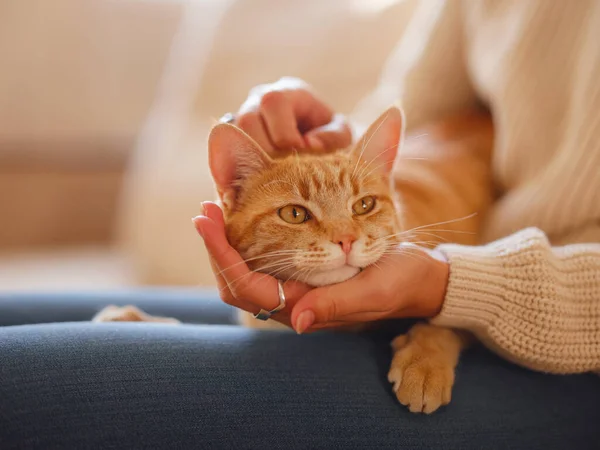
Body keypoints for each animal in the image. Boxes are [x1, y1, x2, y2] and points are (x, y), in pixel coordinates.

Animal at [94, 106, 492, 414]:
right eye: (295, 214)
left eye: (364, 205)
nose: (346, 239)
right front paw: (132, 317)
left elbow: (447, 320)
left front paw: (424, 362)